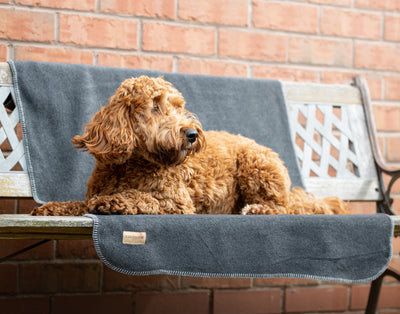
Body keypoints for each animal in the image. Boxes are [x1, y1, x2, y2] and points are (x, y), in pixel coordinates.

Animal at [31, 76, 348, 216]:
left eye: (178, 106)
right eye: (155, 106)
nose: (193, 133)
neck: (132, 165)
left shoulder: (176, 201)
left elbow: (141, 197)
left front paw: (114, 201)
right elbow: (79, 203)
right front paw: (54, 207)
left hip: (256, 166)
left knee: (285, 209)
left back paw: (258, 210)